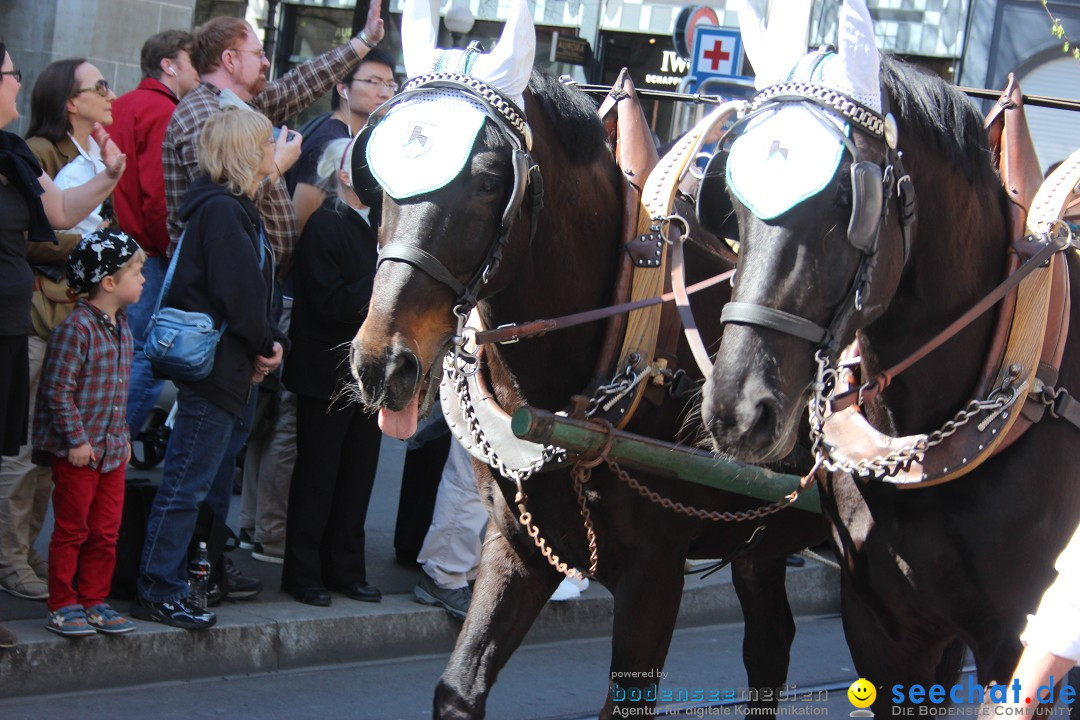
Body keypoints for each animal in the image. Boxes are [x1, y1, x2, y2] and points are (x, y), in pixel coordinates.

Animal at [349, 66, 820, 716]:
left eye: (490, 180)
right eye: (374, 174)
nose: (381, 362)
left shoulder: (654, 573)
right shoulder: (521, 544)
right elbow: (460, 687)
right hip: (760, 541)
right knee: (771, 647)